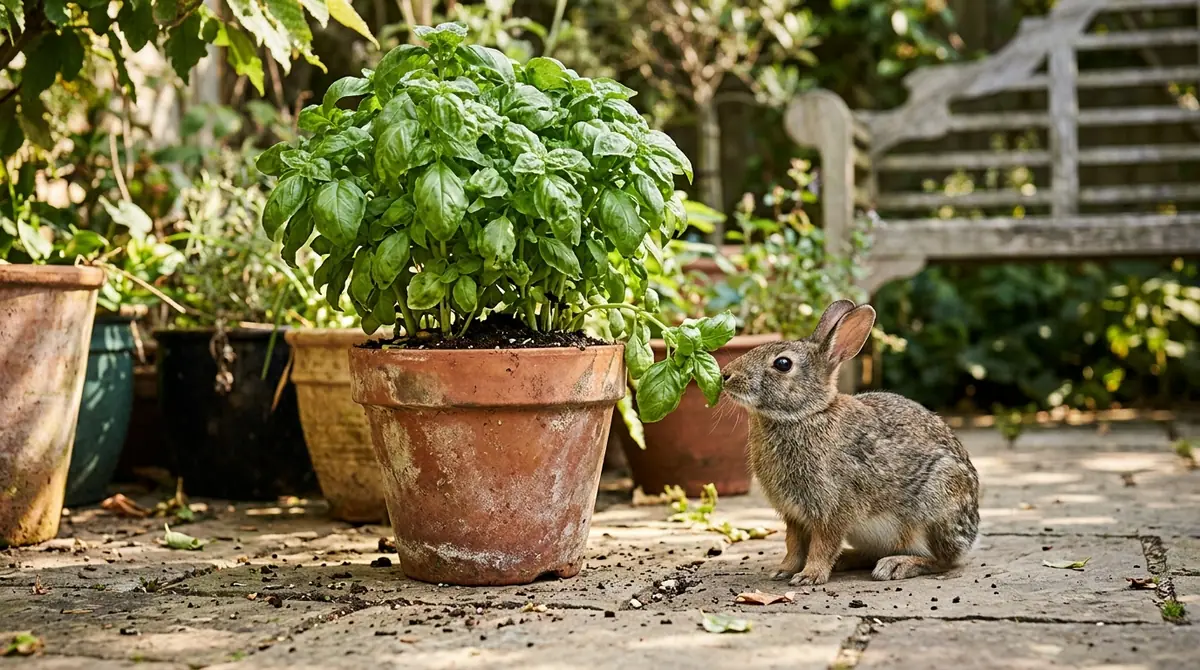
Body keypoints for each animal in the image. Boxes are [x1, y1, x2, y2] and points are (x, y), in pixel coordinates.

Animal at [721, 300, 980, 586]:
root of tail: (970, 536)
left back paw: (896, 565)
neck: (805, 414)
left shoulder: (833, 508)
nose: (726, 375)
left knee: (943, 561)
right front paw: (784, 570)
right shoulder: (794, 515)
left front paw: (809, 576)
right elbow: (793, 544)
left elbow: (823, 544)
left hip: (934, 506)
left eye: (783, 364)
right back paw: (847, 560)